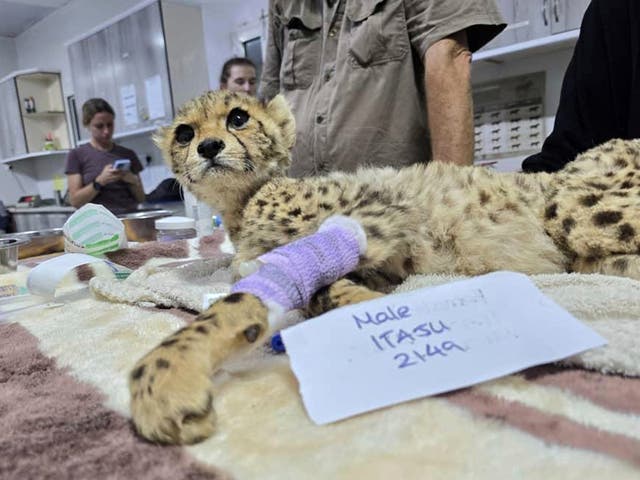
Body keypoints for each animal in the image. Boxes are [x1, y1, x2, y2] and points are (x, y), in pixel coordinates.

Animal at [129, 90, 640, 445]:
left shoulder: (382, 212)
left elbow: (247, 296)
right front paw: (361, 305)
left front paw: (163, 378)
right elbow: (318, 290)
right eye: (184, 133)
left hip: (572, 204)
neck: (244, 201)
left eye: (238, 117)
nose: (210, 147)